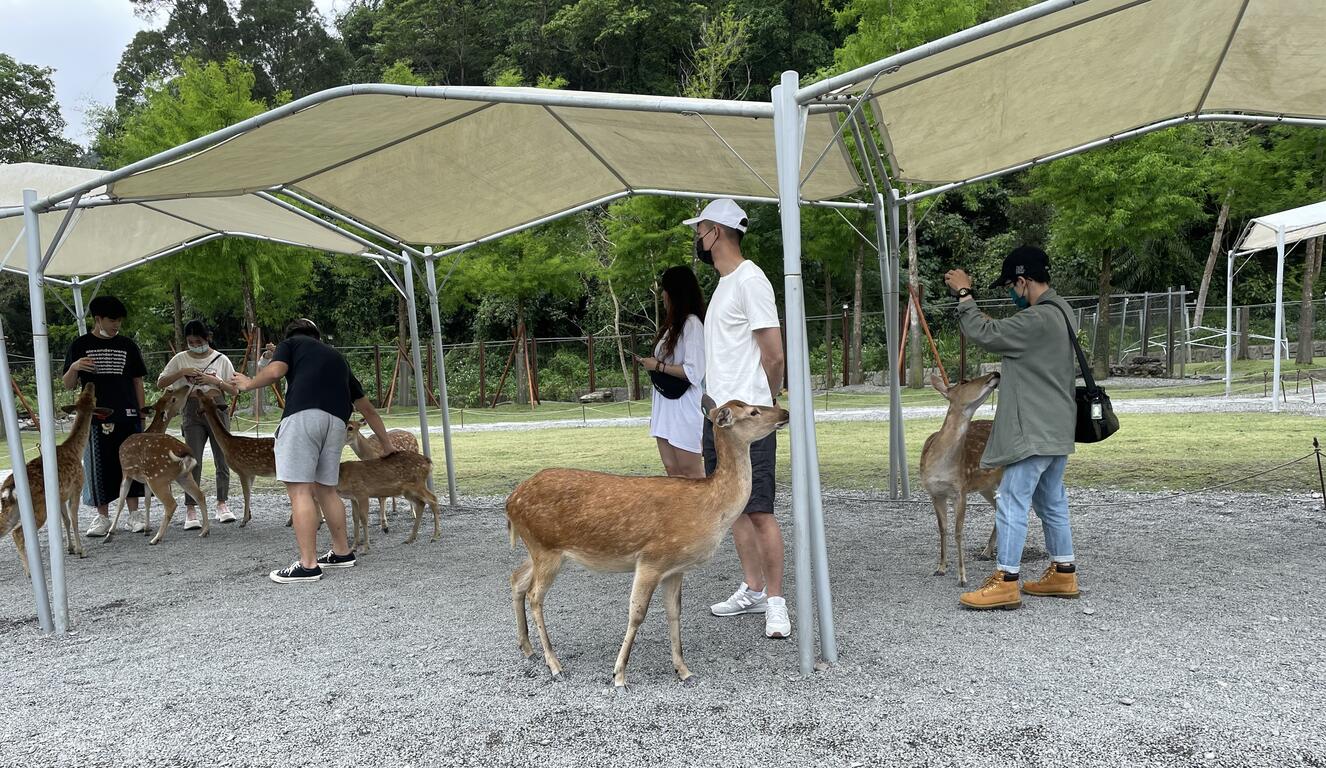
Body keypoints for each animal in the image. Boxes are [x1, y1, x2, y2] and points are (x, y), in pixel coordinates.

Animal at [0, 383, 108, 570]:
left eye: (83, 395)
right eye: (92, 397)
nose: (90, 384)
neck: (75, 450)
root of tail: (9, 487)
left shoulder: (61, 497)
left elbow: (65, 520)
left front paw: (71, 548)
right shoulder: (76, 488)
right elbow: (73, 519)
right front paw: (81, 551)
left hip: (11, 509)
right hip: (37, 508)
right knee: (18, 534)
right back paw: (29, 572)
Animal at [194, 391, 275, 527]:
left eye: (203, 399)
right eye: (208, 398)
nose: (198, 390)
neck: (228, 445)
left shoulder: (242, 470)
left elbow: (246, 494)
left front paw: (244, 521)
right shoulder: (251, 472)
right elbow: (249, 492)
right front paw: (248, 516)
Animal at [505, 400, 789, 694]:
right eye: (753, 411)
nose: (785, 412)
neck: (708, 511)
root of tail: (510, 502)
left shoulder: (675, 568)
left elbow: (674, 613)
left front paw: (684, 671)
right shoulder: (652, 558)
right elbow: (637, 613)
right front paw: (619, 675)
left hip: (541, 549)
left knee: (517, 579)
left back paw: (527, 648)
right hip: (545, 547)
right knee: (534, 595)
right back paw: (554, 665)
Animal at [919, 372, 1003, 587]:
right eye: (964, 381)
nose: (996, 373)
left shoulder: (961, 489)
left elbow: (958, 532)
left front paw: (962, 577)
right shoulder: (934, 493)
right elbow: (943, 529)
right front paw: (941, 567)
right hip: (986, 486)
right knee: (1001, 509)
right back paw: (986, 551)